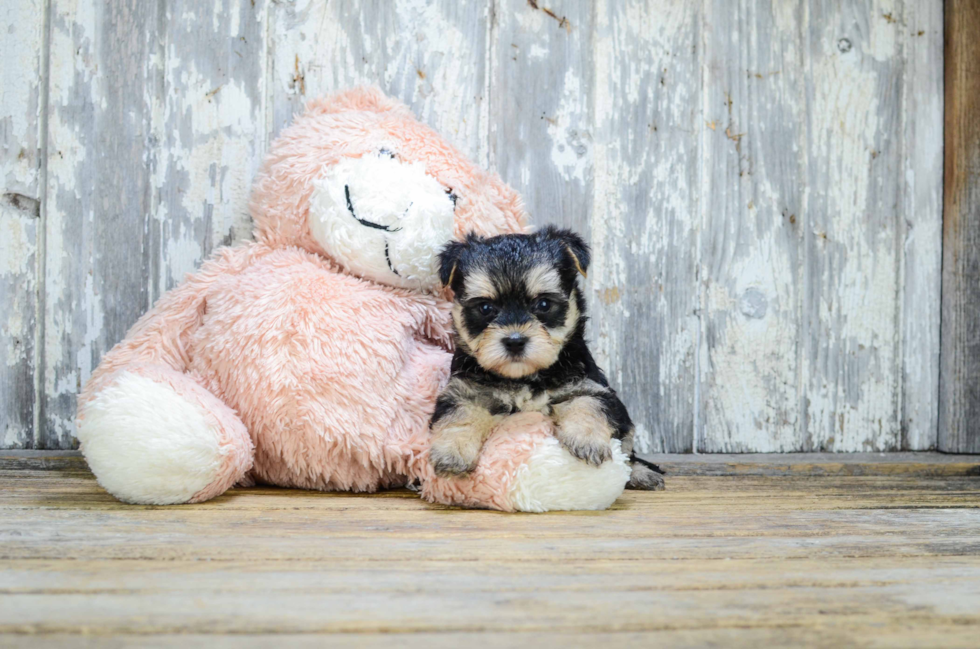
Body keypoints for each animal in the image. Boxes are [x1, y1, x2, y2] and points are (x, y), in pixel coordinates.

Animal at [428, 225, 668, 488]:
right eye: (485, 308)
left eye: (543, 304)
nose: (515, 341)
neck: (524, 377)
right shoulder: (466, 390)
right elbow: (460, 414)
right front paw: (453, 452)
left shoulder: (587, 384)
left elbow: (588, 403)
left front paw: (587, 440)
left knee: (628, 449)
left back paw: (639, 473)